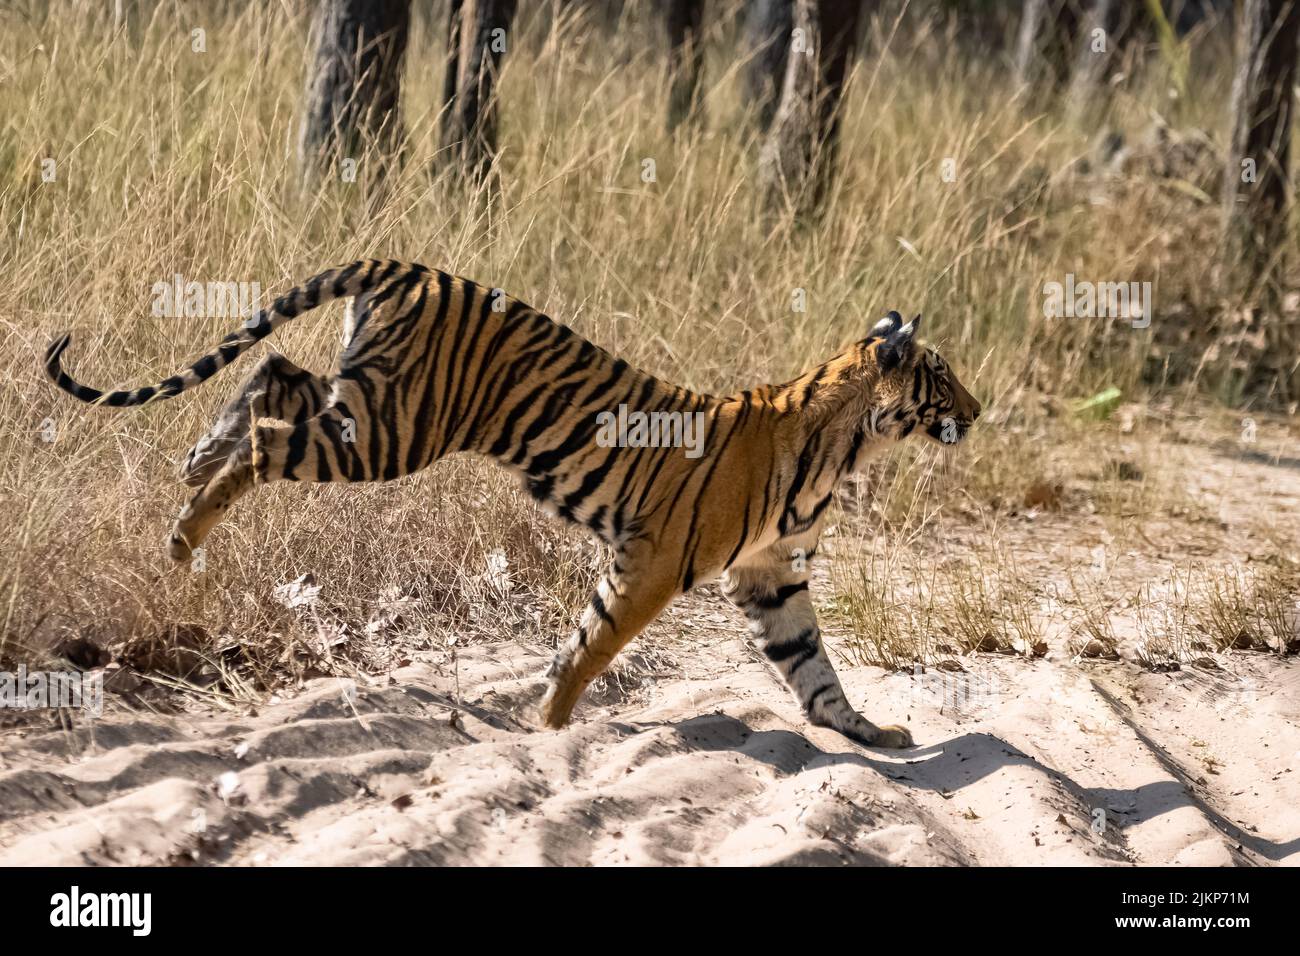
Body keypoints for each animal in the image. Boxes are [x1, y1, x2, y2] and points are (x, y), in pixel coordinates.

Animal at [40, 260, 977, 749]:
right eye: (941, 376)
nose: (977, 409)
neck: (842, 445)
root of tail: (406, 265)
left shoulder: (771, 574)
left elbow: (814, 668)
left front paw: (868, 732)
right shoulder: (653, 562)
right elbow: (594, 644)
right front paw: (550, 724)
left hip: (367, 407)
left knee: (274, 376)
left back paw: (197, 460)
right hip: (394, 429)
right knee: (272, 435)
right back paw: (183, 533)